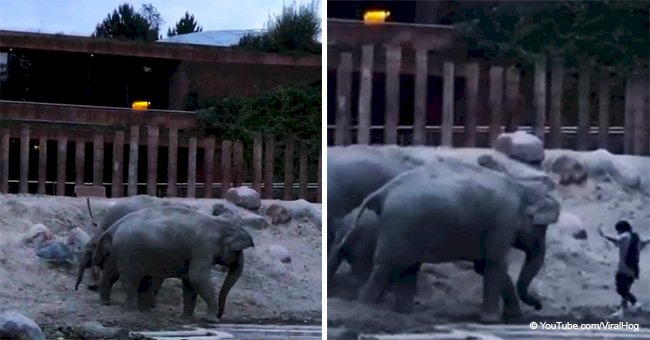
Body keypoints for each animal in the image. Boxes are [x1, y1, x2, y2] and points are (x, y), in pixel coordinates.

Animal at [95, 206, 254, 320]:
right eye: (238, 251)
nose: (220, 315)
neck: (218, 223)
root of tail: (114, 227)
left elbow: (190, 282)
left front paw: (187, 318)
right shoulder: (202, 247)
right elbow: (197, 277)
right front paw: (210, 320)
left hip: (117, 251)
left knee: (112, 275)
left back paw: (110, 303)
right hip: (129, 253)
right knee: (131, 280)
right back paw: (133, 310)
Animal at [334, 159, 556, 324]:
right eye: (541, 228)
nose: (539, 305)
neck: (522, 188)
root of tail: (383, 191)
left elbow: (485, 266)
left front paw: (515, 318)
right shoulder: (503, 222)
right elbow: (495, 263)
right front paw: (491, 320)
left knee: (408, 267)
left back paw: (404, 312)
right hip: (399, 225)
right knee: (384, 265)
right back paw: (364, 306)